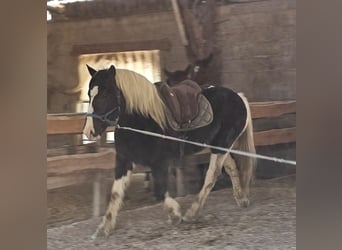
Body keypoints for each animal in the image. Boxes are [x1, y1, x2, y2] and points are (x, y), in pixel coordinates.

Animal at [82, 64, 254, 238]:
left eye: (104, 95)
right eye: (89, 94)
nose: (89, 132)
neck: (142, 119)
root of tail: (239, 97)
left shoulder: (159, 161)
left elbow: (160, 188)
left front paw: (175, 213)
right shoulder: (124, 160)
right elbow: (116, 192)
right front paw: (105, 227)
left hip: (221, 145)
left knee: (211, 176)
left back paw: (193, 212)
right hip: (217, 147)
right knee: (231, 167)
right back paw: (241, 199)